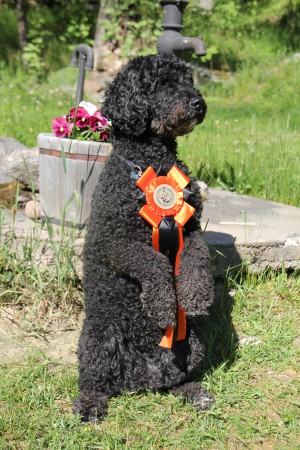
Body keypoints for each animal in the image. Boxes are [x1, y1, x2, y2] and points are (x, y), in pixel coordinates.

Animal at [73, 53, 214, 422]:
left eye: (188, 80)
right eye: (161, 83)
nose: (198, 102)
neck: (154, 162)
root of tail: (142, 377)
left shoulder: (191, 229)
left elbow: (198, 258)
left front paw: (196, 296)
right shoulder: (114, 241)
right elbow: (152, 262)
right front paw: (162, 304)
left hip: (191, 343)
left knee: (176, 379)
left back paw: (193, 392)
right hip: (99, 338)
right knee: (93, 380)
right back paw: (90, 404)